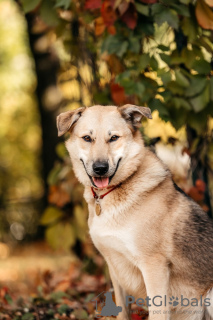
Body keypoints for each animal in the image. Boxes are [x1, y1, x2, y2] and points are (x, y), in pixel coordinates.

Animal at [56, 104, 213, 318]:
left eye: (113, 138)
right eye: (87, 138)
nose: (100, 168)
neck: (111, 195)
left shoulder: (154, 266)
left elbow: (157, 313)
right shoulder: (114, 266)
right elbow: (122, 311)